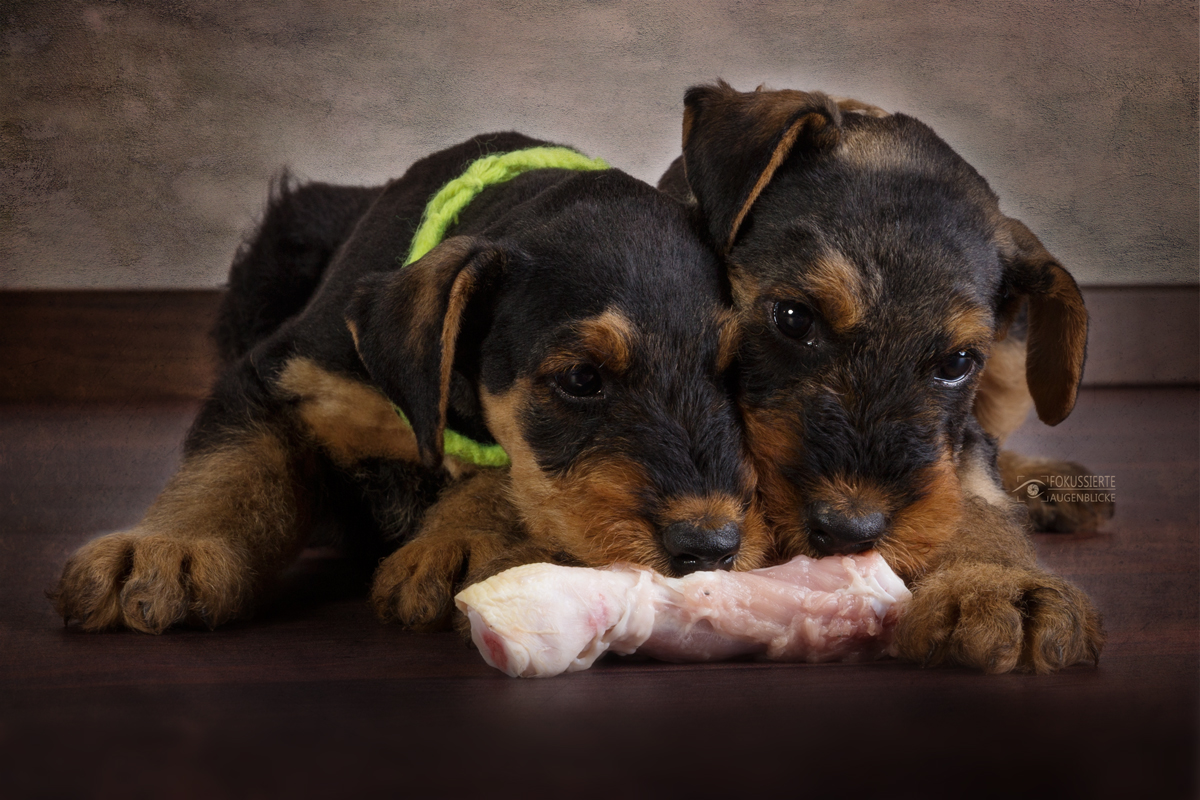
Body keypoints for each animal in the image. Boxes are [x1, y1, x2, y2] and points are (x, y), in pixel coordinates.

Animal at [51, 130, 768, 633]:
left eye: (742, 370)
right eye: (581, 377)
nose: (710, 547)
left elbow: (506, 478)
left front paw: (461, 545)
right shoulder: (276, 376)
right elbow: (233, 468)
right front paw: (164, 552)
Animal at [667, 82, 1104, 671]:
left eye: (958, 362)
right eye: (793, 317)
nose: (848, 532)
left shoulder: (959, 433)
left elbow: (974, 493)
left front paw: (1001, 584)